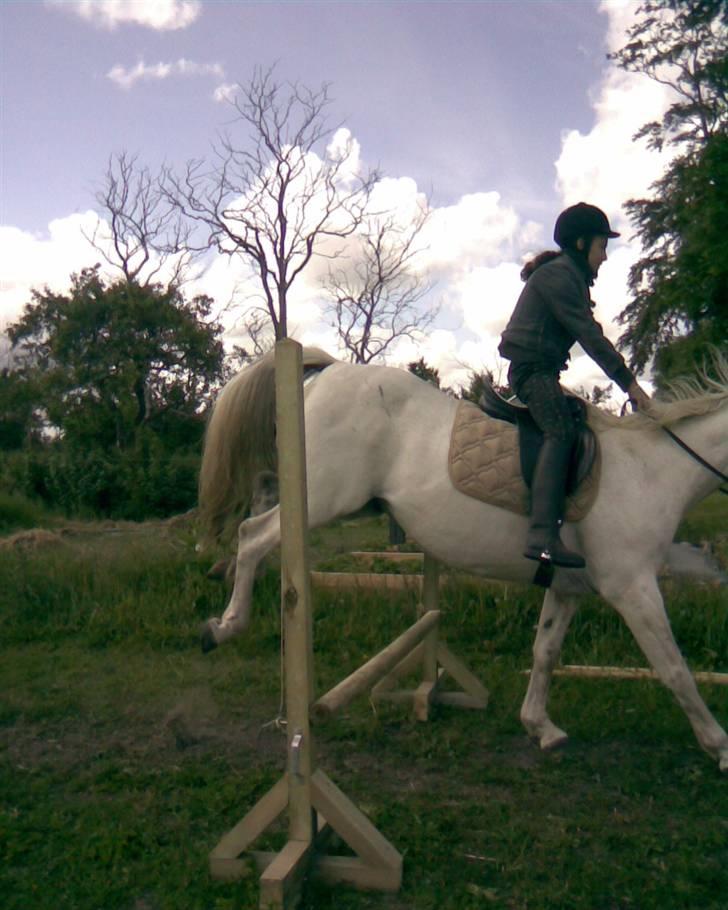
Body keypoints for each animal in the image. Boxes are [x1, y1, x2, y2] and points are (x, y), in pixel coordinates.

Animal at [197, 347, 728, 771]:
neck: (651, 470)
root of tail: (330, 370)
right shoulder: (632, 586)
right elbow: (673, 667)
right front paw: (718, 745)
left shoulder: (568, 587)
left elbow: (545, 651)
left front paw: (540, 726)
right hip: (323, 499)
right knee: (252, 536)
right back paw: (224, 626)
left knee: (259, 516)